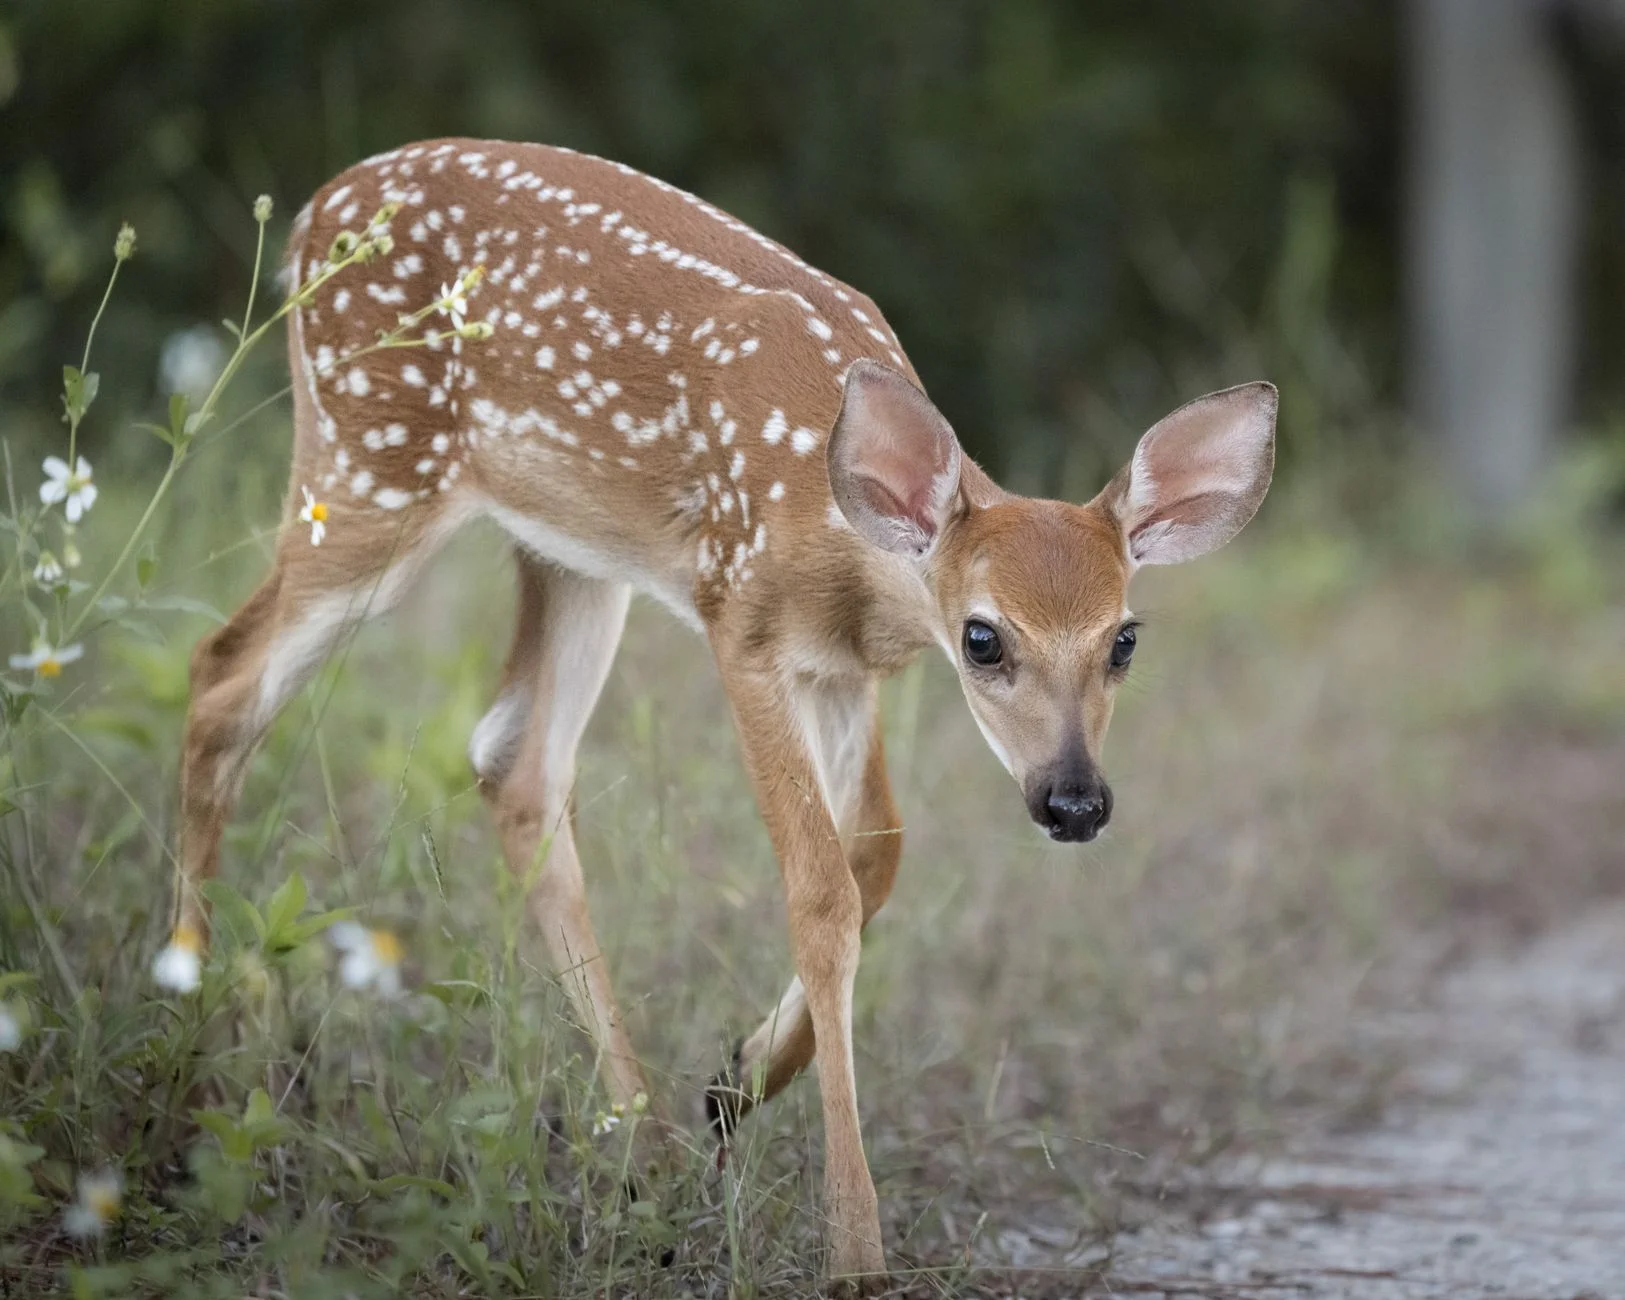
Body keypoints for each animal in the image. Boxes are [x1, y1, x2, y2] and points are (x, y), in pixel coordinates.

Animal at [171, 137, 1276, 1288]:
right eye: (982, 638)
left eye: (1124, 639)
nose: (1073, 801)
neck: (841, 544)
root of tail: (311, 212)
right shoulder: (737, 623)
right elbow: (821, 893)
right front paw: (855, 1248)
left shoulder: (840, 672)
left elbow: (876, 852)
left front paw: (735, 1080)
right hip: (370, 461)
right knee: (219, 677)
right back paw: (194, 1069)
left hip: (568, 551)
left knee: (518, 768)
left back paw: (643, 1155)